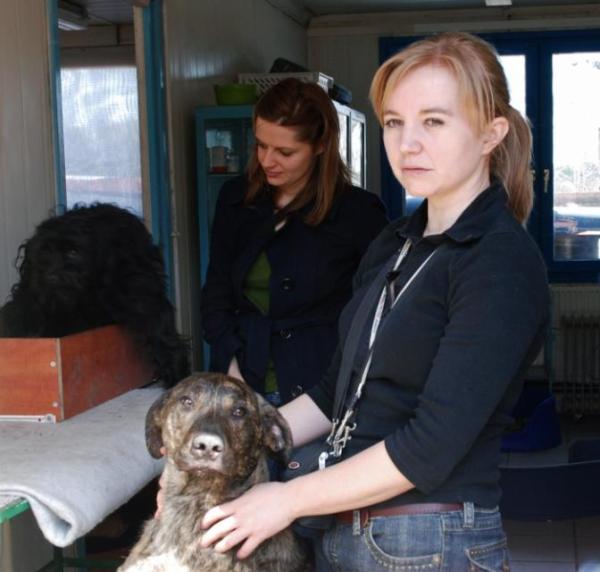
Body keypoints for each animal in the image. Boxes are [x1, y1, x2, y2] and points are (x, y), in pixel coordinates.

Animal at [0, 203, 189, 387]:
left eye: (73, 252)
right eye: (44, 252)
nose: (50, 277)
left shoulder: (138, 291)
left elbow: (159, 326)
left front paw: (176, 371)